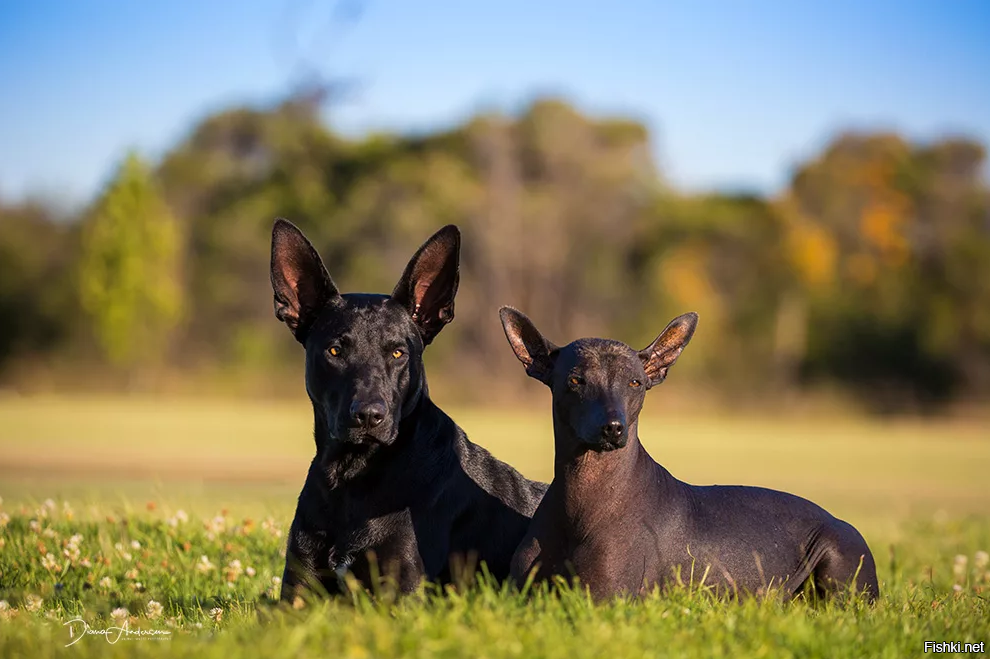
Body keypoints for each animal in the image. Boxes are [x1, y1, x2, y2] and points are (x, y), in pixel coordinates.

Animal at [272, 222, 552, 600]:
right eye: (334, 350)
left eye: (397, 353)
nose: (369, 415)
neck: (351, 478)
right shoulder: (298, 593)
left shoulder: (402, 592)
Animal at [500, 308, 880, 604]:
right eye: (576, 380)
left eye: (636, 383)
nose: (613, 427)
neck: (582, 497)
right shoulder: (516, 596)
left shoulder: (602, 598)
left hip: (836, 556)